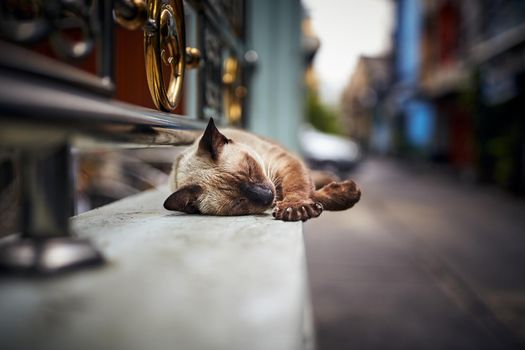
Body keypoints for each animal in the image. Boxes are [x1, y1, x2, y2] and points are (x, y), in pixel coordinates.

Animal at [164, 117, 360, 221]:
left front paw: (295, 207)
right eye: (239, 202)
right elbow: (312, 194)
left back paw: (329, 177)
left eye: (250, 169)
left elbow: (300, 188)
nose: (267, 196)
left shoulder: (284, 164)